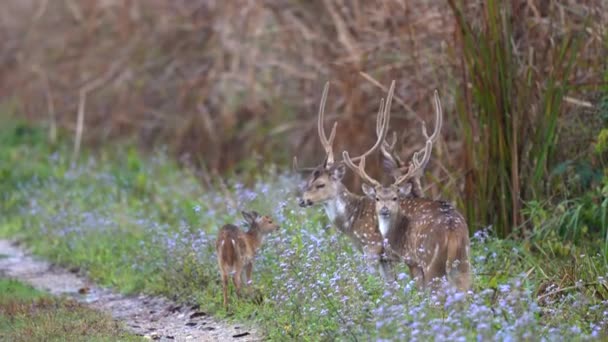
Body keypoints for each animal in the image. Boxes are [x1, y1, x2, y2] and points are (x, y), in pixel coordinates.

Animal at [342, 91, 470, 292]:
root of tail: (452, 231)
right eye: (377, 198)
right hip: (464, 260)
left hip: (430, 262)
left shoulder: (410, 260)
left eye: (395, 197)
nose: (384, 209)